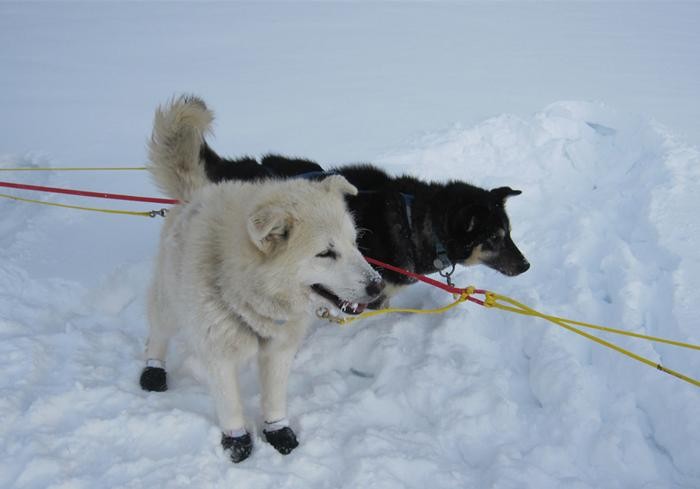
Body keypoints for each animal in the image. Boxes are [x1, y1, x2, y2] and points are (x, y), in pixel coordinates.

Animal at [139, 95, 386, 462]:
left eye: (355, 243)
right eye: (325, 253)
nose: (378, 286)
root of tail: (196, 194)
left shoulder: (278, 352)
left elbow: (273, 398)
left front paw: (277, 430)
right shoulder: (219, 354)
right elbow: (230, 404)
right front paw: (237, 441)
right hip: (169, 302)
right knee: (157, 331)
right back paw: (153, 368)